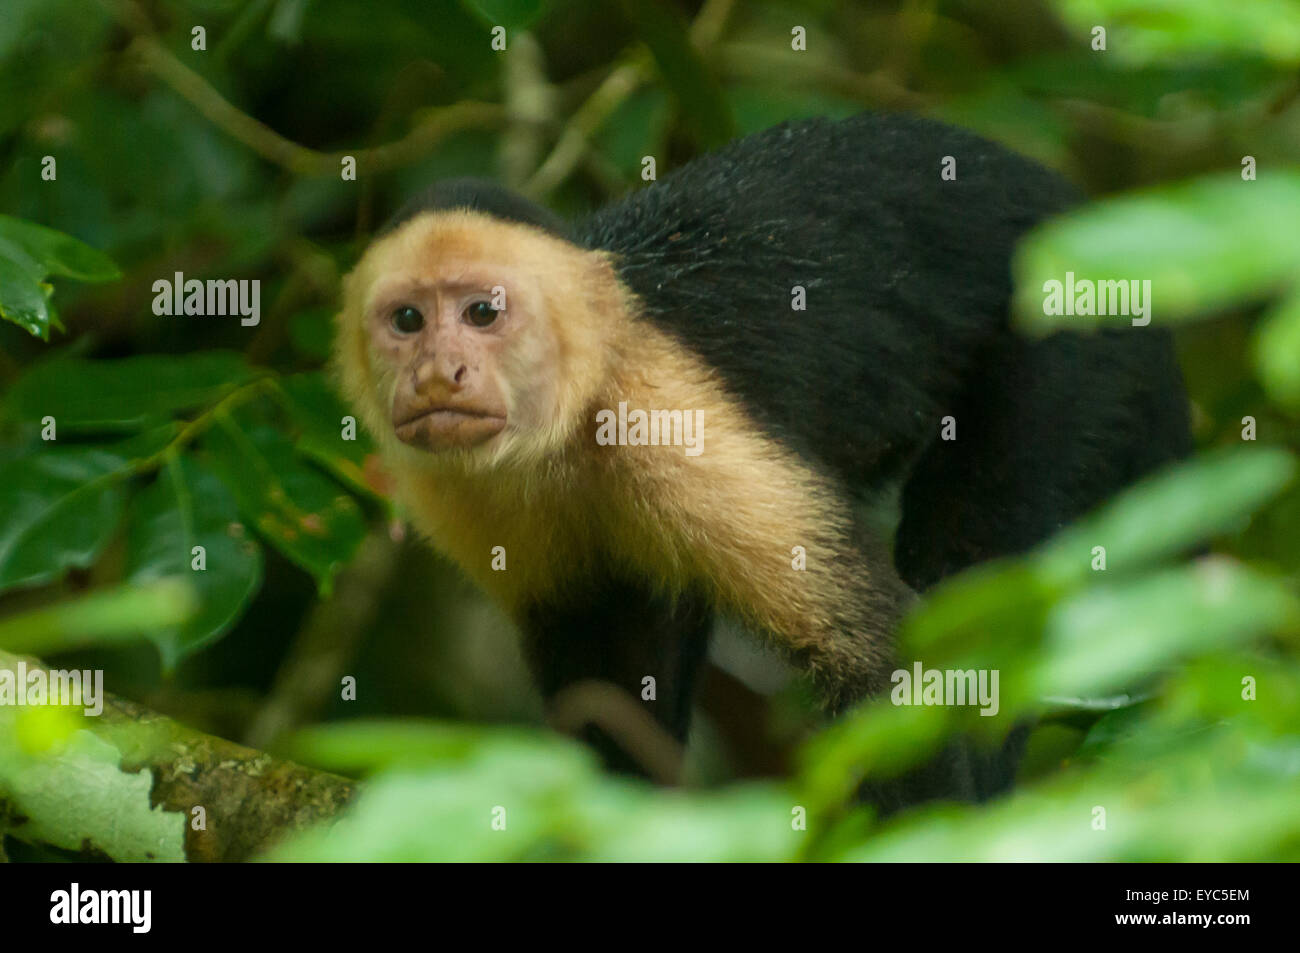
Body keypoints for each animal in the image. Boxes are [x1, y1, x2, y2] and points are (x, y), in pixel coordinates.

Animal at [335, 113, 1190, 800]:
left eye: (483, 312)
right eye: (407, 321)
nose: (439, 373)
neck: (572, 420)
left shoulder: (672, 419)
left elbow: (882, 656)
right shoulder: (458, 495)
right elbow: (610, 670)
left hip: (1072, 339)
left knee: (980, 553)